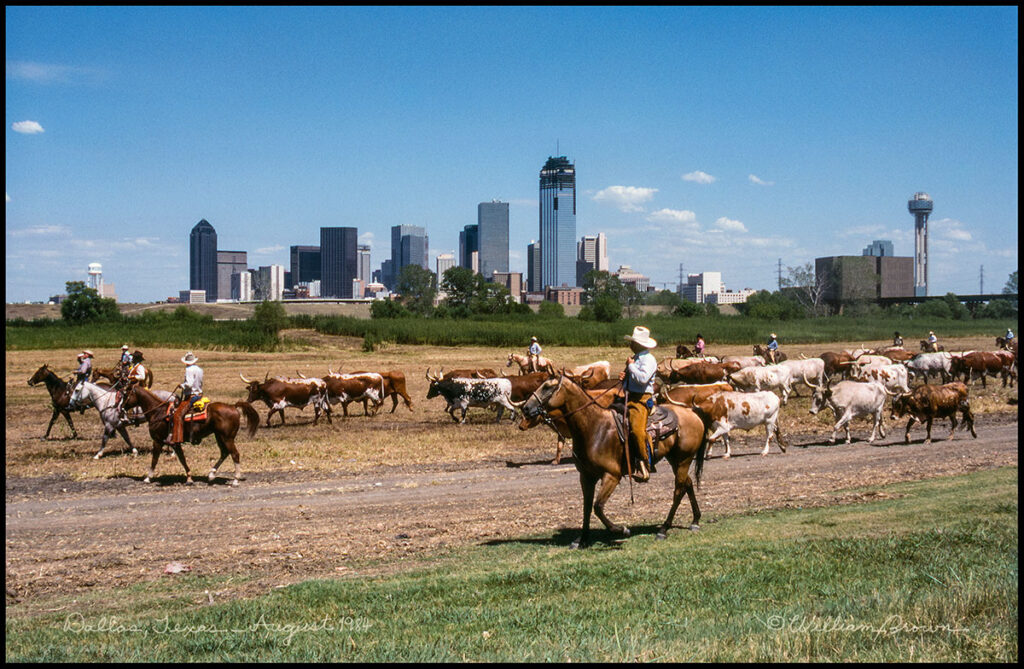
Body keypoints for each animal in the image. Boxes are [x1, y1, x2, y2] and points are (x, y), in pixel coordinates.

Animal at [120, 381, 260, 485]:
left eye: (125, 395)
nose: (121, 409)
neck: (158, 412)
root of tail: (233, 406)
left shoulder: (157, 440)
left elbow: (154, 459)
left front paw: (148, 478)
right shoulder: (175, 443)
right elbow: (182, 459)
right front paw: (189, 478)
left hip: (227, 438)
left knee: (235, 454)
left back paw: (235, 479)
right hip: (219, 436)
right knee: (225, 453)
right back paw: (211, 474)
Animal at [520, 372, 712, 545]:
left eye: (547, 387)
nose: (525, 408)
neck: (594, 427)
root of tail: (691, 411)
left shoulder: (612, 475)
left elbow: (598, 506)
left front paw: (621, 530)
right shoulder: (586, 477)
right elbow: (587, 507)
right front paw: (582, 539)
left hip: (684, 459)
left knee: (678, 491)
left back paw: (663, 529)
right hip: (675, 460)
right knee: (687, 483)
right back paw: (695, 520)